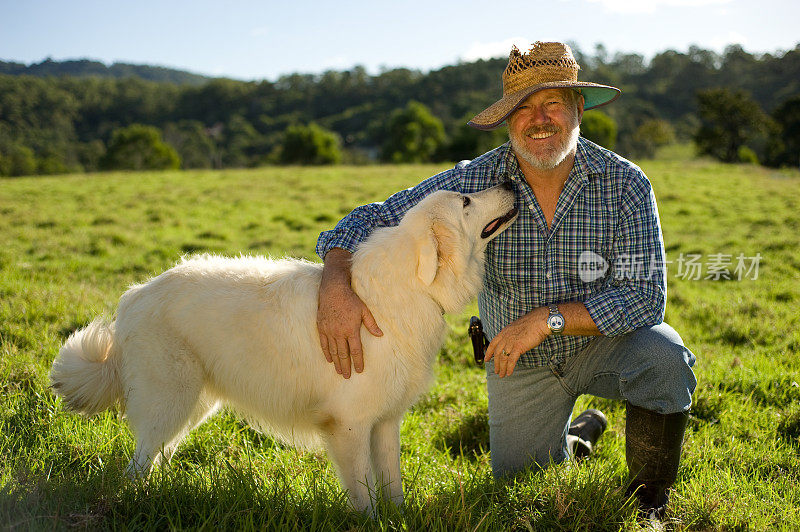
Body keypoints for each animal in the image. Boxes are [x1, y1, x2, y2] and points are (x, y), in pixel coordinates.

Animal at [53, 184, 520, 512]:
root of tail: (133, 296)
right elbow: (364, 494)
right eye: (465, 200)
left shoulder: (385, 422)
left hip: (193, 405)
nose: (511, 180)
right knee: (138, 464)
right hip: (171, 401)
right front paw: (370, 520)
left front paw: (399, 518)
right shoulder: (349, 426)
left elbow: (392, 485)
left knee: (155, 457)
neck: (405, 290)